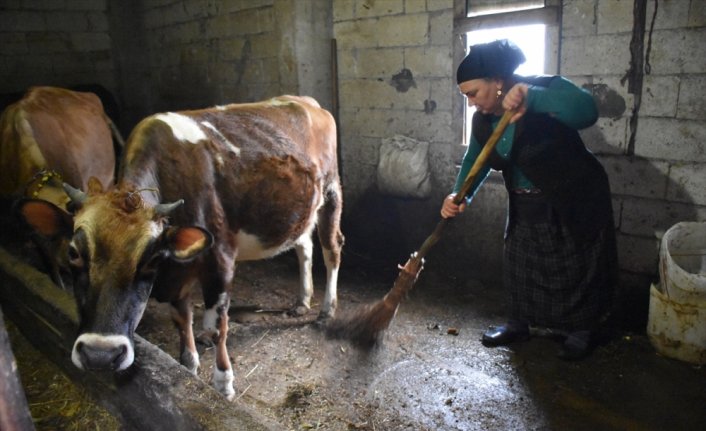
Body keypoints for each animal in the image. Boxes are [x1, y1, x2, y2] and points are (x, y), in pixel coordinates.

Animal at [17, 96, 342, 400]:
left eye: (150, 258)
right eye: (73, 253)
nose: (100, 355)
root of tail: (306, 102)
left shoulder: (220, 260)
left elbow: (217, 326)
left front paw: (223, 383)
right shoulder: (176, 274)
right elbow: (181, 319)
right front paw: (188, 366)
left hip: (331, 192)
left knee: (331, 249)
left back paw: (326, 310)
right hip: (302, 209)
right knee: (304, 246)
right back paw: (302, 301)